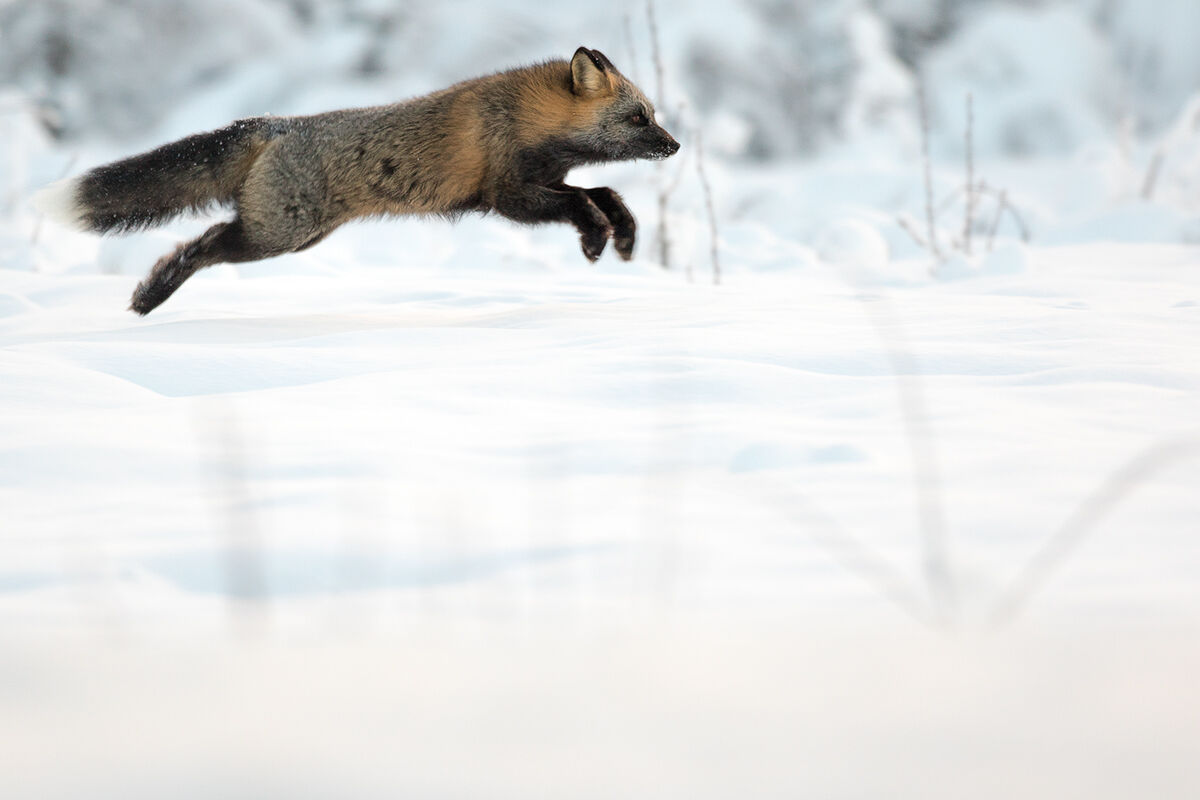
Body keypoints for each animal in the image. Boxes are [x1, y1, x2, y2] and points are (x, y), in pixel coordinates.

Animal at [34, 46, 679, 315]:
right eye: (640, 118)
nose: (674, 145)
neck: (521, 118)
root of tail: (274, 122)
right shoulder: (510, 197)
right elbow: (583, 205)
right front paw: (596, 239)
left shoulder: (545, 181)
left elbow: (605, 194)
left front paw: (621, 236)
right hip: (277, 237)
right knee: (204, 243)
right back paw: (150, 296)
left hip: (294, 237)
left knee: (208, 238)